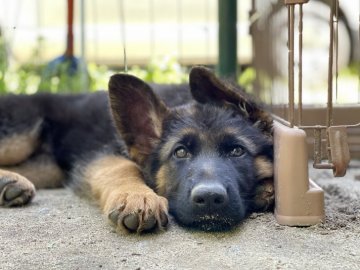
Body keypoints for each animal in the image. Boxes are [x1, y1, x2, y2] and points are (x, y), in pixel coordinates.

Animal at [0, 66, 272, 232]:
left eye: (237, 151)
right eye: (180, 152)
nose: (209, 199)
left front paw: (267, 191)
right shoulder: (103, 155)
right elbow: (123, 167)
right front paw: (137, 197)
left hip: (48, 168)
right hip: (21, 133)